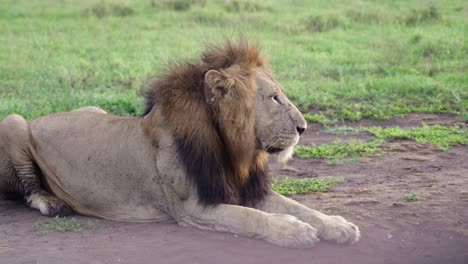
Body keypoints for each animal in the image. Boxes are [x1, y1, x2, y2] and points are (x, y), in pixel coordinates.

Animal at [0, 40, 360, 246]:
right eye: (275, 98)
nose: (304, 127)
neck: (232, 150)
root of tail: (42, 117)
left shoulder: (244, 189)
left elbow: (298, 207)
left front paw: (337, 225)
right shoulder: (192, 207)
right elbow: (248, 217)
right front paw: (293, 231)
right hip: (13, 122)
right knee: (30, 190)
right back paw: (53, 203)